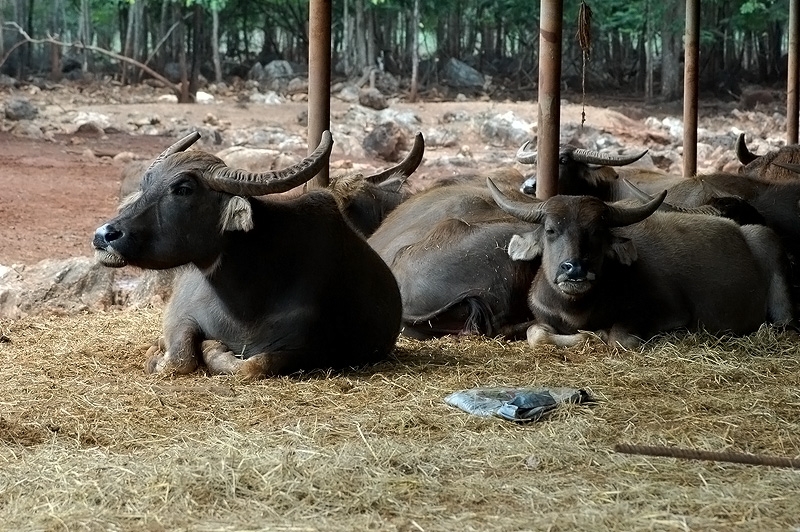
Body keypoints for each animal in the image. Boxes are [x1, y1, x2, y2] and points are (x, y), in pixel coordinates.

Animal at [94, 131, 404, 378]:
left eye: (183, 189)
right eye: (146, 184)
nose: (103, 235)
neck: (247, 301)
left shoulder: (309, 348)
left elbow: (254, 365)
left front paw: (212, 347)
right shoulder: (182, 315)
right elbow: (179, 358)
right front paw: (160, 352)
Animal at [488, 179, 792, 350]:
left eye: (598, 231)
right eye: (551, 230)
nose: (574, 269)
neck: (577, 310)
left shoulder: (671, 314)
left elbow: (619, 338)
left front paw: (597, 335)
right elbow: (535, 334)